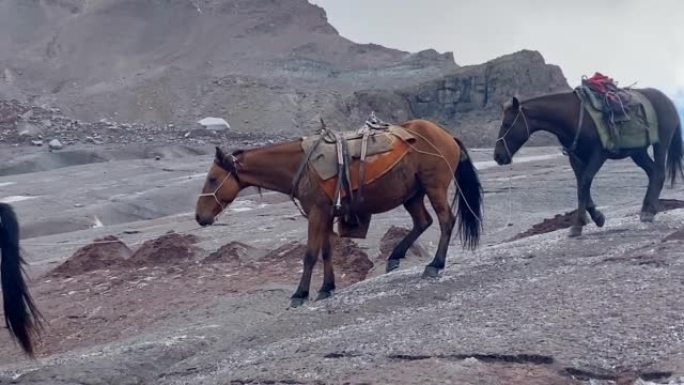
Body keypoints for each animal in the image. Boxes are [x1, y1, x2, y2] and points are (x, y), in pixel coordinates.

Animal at [195, 119, 484, 306]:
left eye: (212, 179)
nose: (199, 216)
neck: (300, 165)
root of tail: (447, 135)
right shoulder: (325, 215)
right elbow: (326, 252)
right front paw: (326, 288)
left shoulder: (317, 213)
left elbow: (310, 254)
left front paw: (300, 294)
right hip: (412, 195)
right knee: (423, 221)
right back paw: (395, 256)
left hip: (434, 187)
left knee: (446, 221)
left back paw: (435, 264)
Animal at [494, 89, 680, 237]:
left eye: (507, 124)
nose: (498, 156)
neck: (573, 116)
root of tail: (668, 100)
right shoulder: (575, 158)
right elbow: (581, 185)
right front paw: (597, 218)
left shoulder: (598, 155)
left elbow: (584, 182)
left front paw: (578, 225)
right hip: (638, 152)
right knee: (653, 172)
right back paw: (646, 209)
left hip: (661, 144)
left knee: (659, 173)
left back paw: (649, 212)